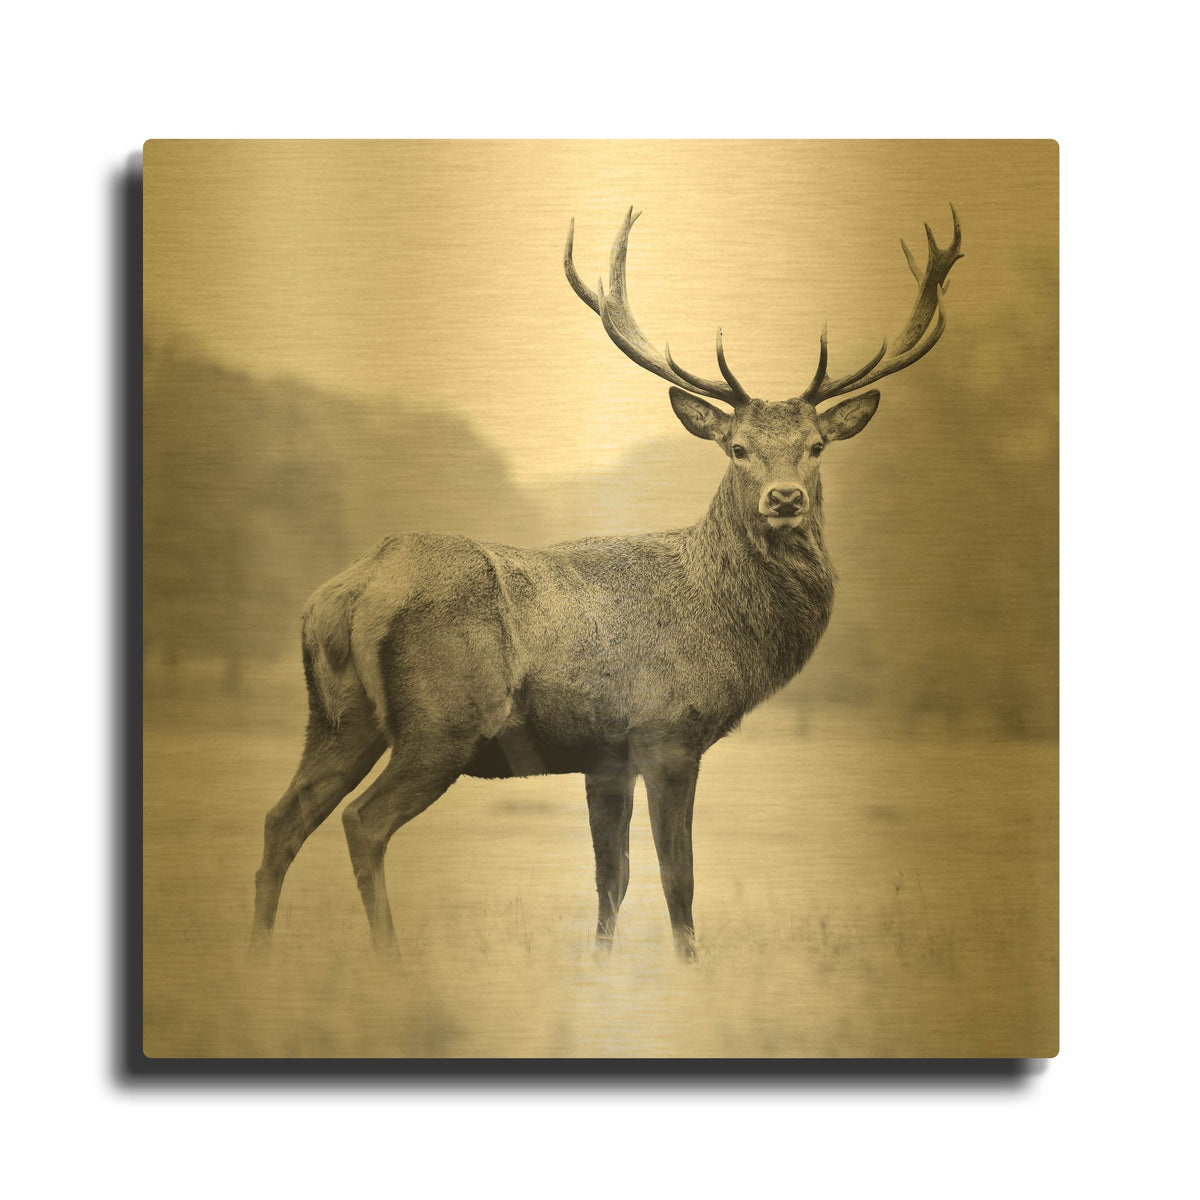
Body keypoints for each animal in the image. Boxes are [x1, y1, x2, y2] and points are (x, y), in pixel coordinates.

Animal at [250, 206, 964, 960]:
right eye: (737, 448)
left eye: (817, 447)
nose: (785, 498)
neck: (727, 627)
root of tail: (348, 593)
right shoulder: (668, 731)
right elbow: (677, 875)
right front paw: (689, 968)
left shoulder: (604, 757)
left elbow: (610, 878)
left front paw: (600, 966)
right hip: (442, 720)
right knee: (363, 822)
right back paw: (390, 962)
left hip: (336, 717)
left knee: (281, 818)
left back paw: (257, 958)